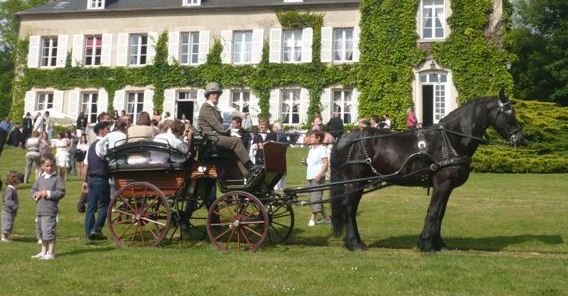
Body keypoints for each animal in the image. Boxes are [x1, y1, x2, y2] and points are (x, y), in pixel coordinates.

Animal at [330, 91, 524, 251]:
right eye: (508, 112)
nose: (521, 138)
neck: (450, 139)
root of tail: (345, 138)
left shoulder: (446, 187)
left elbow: (440, 213)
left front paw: (438, 244)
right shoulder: (442, 183)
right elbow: (434, 212)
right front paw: (427, 244)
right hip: (355, 180)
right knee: (348, 208)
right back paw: (354, 243)